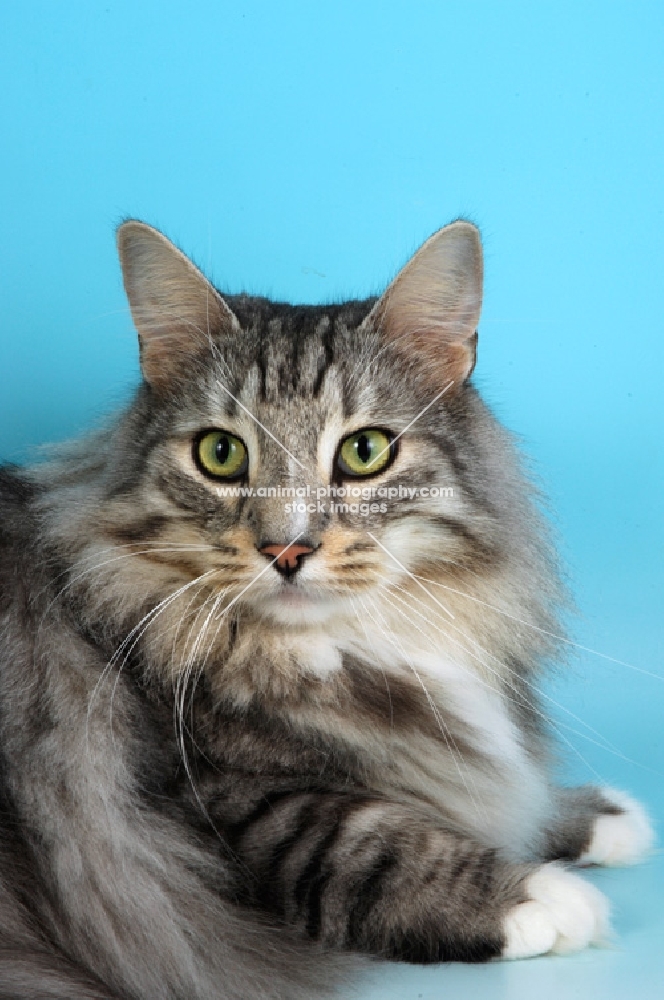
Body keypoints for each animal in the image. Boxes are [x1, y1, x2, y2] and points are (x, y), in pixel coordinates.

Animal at [0, 221, 652, 1000]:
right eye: (221, 454)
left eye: (364, 452)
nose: (286, 548)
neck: (345, 644)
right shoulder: (220, 806)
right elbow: (371, 841)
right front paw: (538, 896)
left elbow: (489, 783)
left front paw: (595, 816)